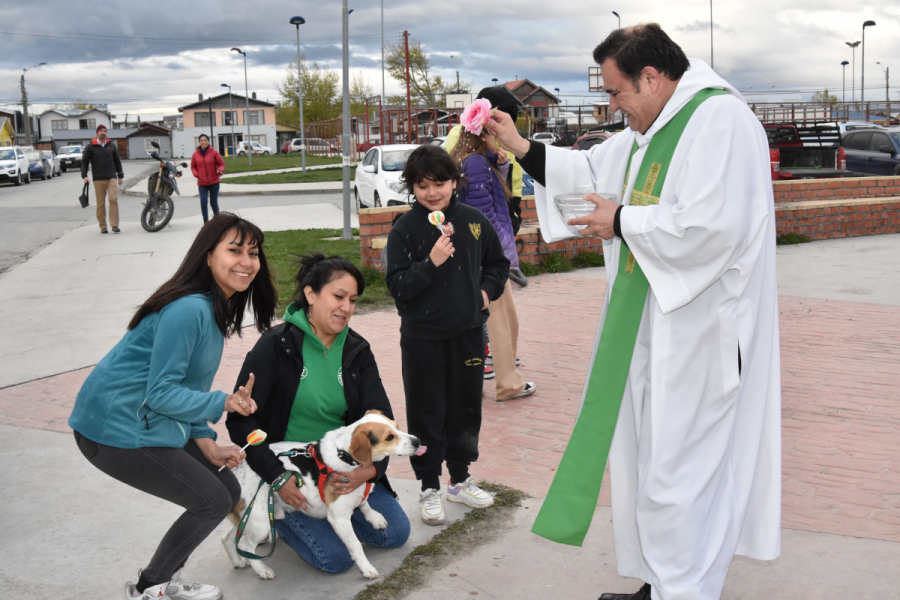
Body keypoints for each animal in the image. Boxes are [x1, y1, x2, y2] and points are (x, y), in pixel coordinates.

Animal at [221, 410, 426, 580]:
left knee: (229, 538)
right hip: (262, 522)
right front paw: (366, 568)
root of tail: (233, 470)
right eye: (389, 437)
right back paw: (262, 570)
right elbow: (356, 546)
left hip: (250, 519)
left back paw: (239, 561)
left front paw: (373, 516)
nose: (417, 441)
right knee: (245, 545)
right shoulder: (339, 519)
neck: (345, 455)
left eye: (397, 426)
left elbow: (364, 502)